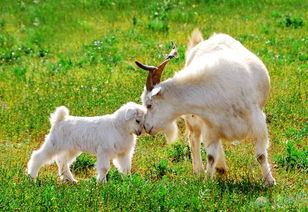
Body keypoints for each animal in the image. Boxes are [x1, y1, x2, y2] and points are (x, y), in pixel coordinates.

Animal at [136, 29, 276, 186]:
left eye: (149, 104)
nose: (146, 127)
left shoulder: (258, 122)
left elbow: (261, 155)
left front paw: (269, 181)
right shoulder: (211, 126)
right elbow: (210, 156)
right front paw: (207, 181)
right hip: (195, 121)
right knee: (194, 138)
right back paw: (201, 170)